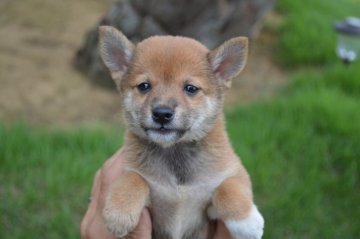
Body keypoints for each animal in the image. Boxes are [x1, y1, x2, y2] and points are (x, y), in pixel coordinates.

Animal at [98, 26, 264, 239]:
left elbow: (228, 187)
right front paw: (119, 213)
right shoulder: (140, 183)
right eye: (144, 86)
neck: (174, 153)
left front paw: (247, 222)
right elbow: (133, 178)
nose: (162, 113)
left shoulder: (232, 175)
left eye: (190, 88)